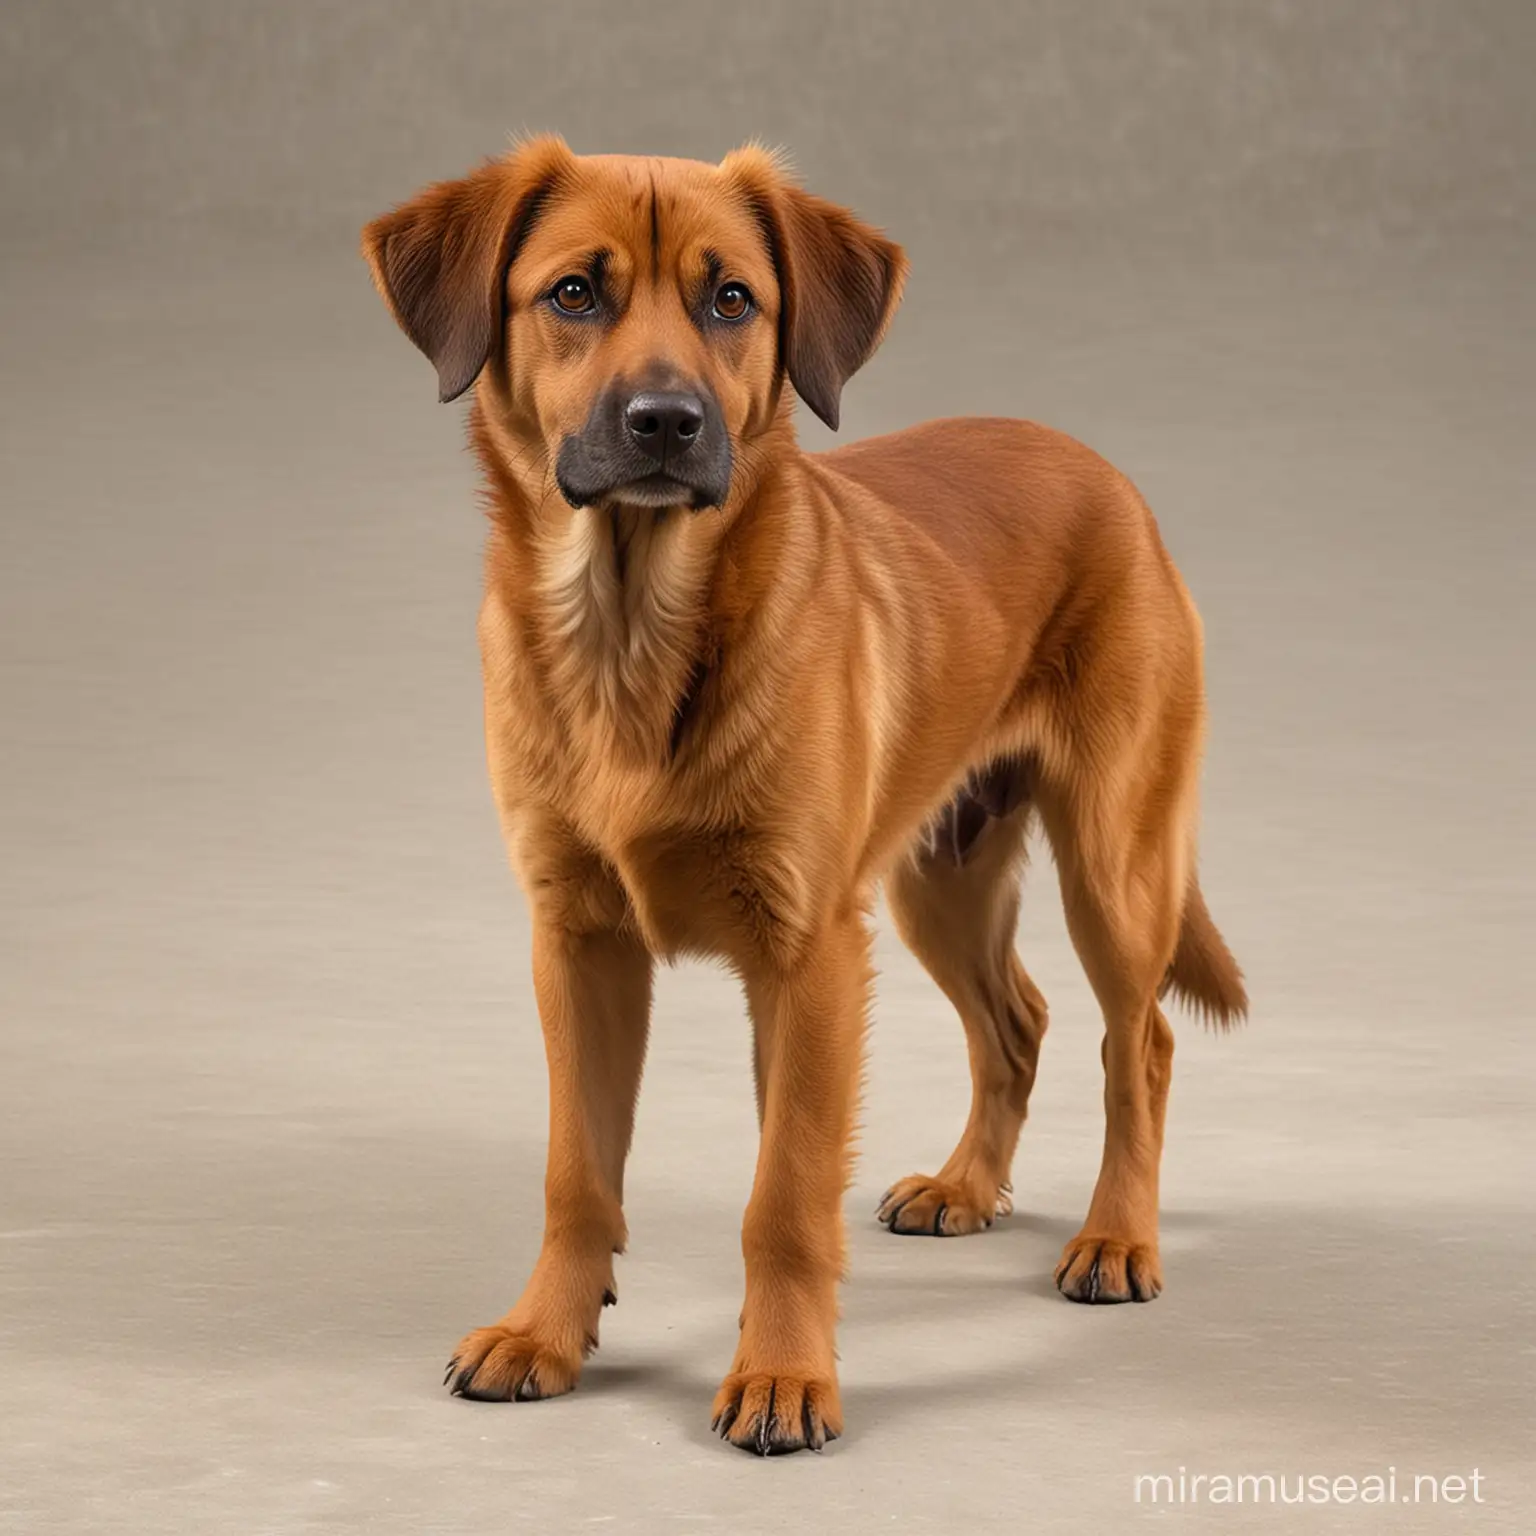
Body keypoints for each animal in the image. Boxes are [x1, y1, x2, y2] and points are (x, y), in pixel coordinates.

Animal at [362, 138, 1247, 1456]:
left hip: (1113, 861)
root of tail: (1103, 473)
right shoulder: (577, 945)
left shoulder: (813, 955)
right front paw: (545, 1335)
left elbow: (783, 1192)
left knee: (1135, 1041)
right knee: (1019, 1021)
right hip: (941, 881)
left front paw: (782, 1376)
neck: (635, 635)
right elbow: (578, 1173)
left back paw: (1115, 1236)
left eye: (734, 300)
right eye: (573, 293)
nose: (666, 422)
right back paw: (966, 1187)